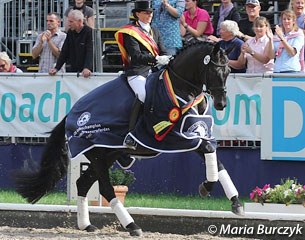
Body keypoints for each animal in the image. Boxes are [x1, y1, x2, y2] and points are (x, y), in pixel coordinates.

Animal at [12, 41, 242, 236]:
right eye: (214, 71)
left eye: (229, 72)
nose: (221, 103)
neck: (180, 86)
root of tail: (71, 113)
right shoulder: (175, 138)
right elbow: (208, 149)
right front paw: (207, 187)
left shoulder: (196, 132)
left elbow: (215, 158)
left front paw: (236, 203)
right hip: (97, 153)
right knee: (105, 188)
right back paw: (132, 226)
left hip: (109, 154)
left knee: (83, 183)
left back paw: (87, 225)